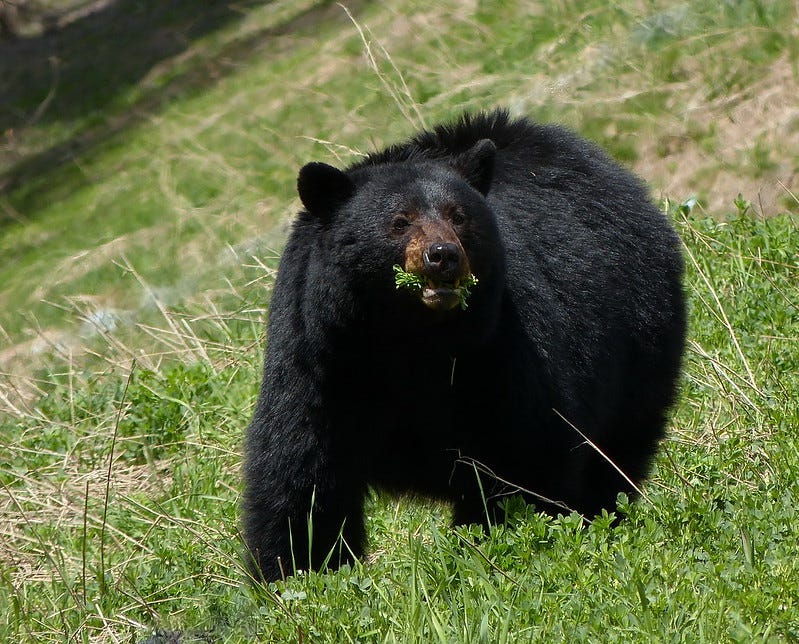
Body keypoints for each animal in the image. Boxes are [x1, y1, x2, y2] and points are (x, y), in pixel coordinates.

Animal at [242, 109, 686, 583]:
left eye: (458, 216)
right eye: (400, 220)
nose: (443, 255)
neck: (407, 342)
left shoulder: (500, 351)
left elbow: (522, 453)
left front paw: (498, 543)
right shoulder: (320, 363)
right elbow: (301, 476)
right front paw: (300, 573)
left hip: (641, 334)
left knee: (617, 447)